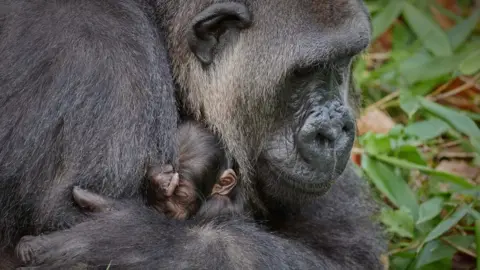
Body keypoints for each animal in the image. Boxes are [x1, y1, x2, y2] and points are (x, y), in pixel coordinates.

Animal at [0, 0, 382, 268]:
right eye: (306, 71)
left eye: (342, 62)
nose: (335, 131)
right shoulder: (99, 63)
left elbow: (346, 255)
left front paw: (133, 241)